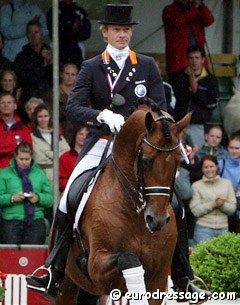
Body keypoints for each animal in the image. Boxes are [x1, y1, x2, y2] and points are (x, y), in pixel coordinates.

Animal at [55, 102, 190, 304]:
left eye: (178, 161)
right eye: (145, 161)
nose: (156, 220)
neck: (136, 212)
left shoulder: (158, 280)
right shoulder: (96, 266)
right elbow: (129, 259)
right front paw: (112, 118)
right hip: (68, 285)